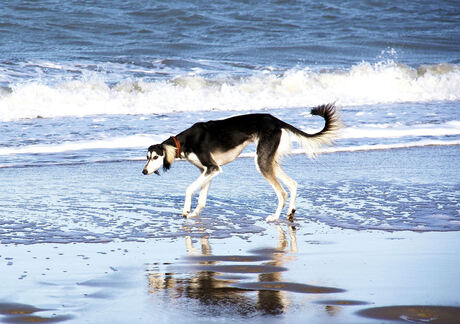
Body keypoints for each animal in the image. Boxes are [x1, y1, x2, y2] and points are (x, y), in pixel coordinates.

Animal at [143, 104, 342, 223]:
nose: (144, 172)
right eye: (147, 157)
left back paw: (275, 217)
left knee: (282, 192)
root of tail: (274, 119)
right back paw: (289, 212)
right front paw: (195, 212)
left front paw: (185, 210)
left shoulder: (212, 168)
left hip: (261, 161)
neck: (184, 141)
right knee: (292, 184)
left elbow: (189, 189)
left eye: (155, 157)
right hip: (269, 159)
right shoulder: (207, 171)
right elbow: (202, 198)